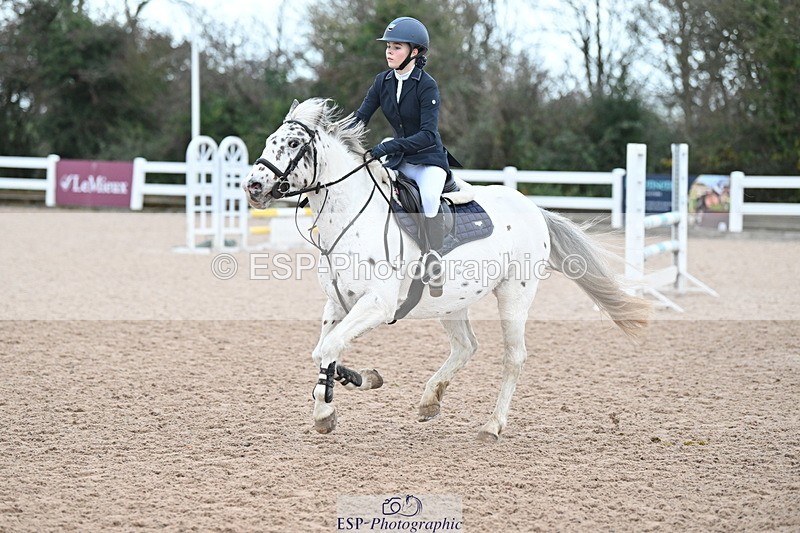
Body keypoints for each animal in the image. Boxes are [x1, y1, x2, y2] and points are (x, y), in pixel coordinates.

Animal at [243, 98, 650, 442]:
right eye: (270, 141)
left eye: (293, 144)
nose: (253, 186)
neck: (352, 216)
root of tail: (533, 208)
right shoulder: (337, 304)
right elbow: (324, 351)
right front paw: (332, 405)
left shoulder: (377, 304)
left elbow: (328, 348)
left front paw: (343, 394)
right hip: (452, 302)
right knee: (466, 346)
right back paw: (430, 401)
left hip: (514, 294)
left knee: (513, 357)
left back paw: (492, 426)